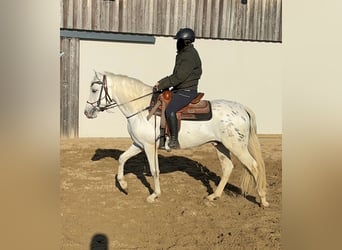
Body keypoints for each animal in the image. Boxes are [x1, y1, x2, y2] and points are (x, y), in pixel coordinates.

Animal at [84, 71, 268, 207]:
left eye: (94, 90)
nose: (87, 112)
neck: (143, 109)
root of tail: (242, 108)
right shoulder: (138, 144)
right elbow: (122, 158)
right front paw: (123, 185)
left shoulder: (149, 146)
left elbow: (154, 171)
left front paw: (154, 195)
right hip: (220, 145)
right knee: (228, 167)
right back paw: (214, 196)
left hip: (237, 147)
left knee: (253, 166)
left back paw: (262, 200)